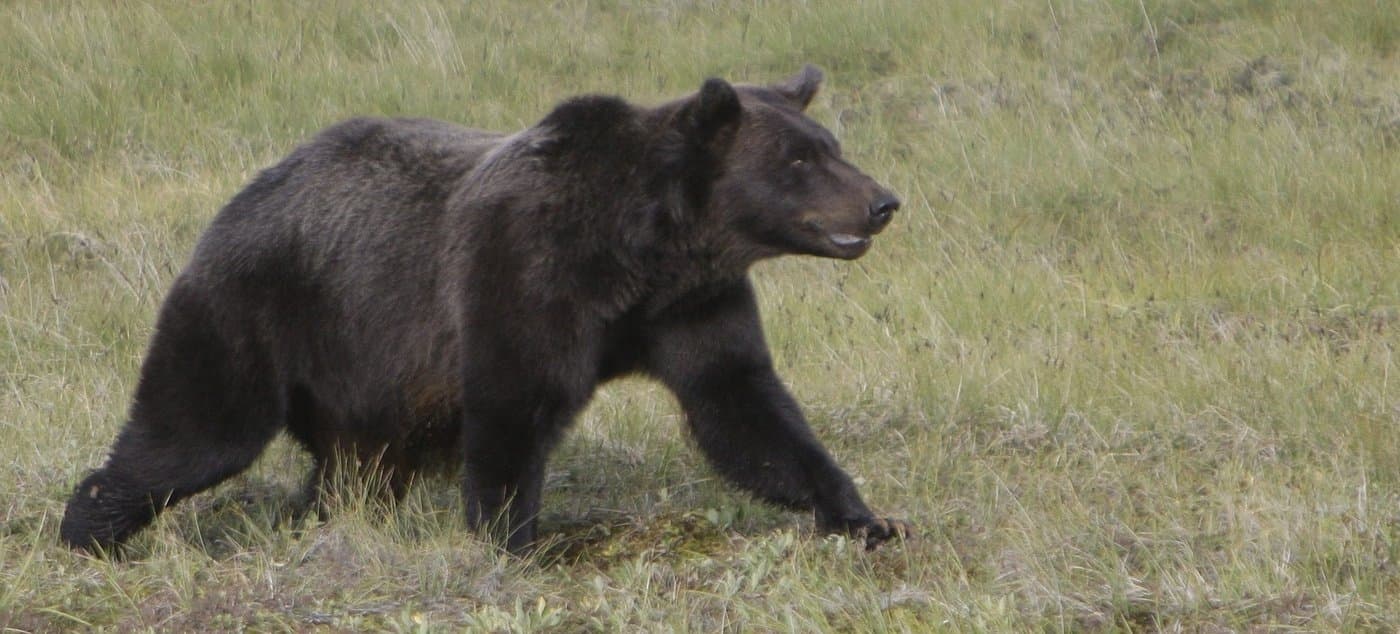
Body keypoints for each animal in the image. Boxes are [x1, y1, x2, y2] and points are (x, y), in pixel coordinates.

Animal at [60, 65, 909, 555]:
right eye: (799, 160)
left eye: (829, 144)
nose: (882, 202)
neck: (645, 250)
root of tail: (242, 194)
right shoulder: (525, 273)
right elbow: (513, 406)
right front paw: (514, 543)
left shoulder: (692, 307)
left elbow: (744, 408)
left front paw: (864, 516)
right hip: (260, 310)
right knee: (195, 429)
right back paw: (90, 529)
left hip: (365, 379)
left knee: (353, 471)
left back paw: (321, 521)